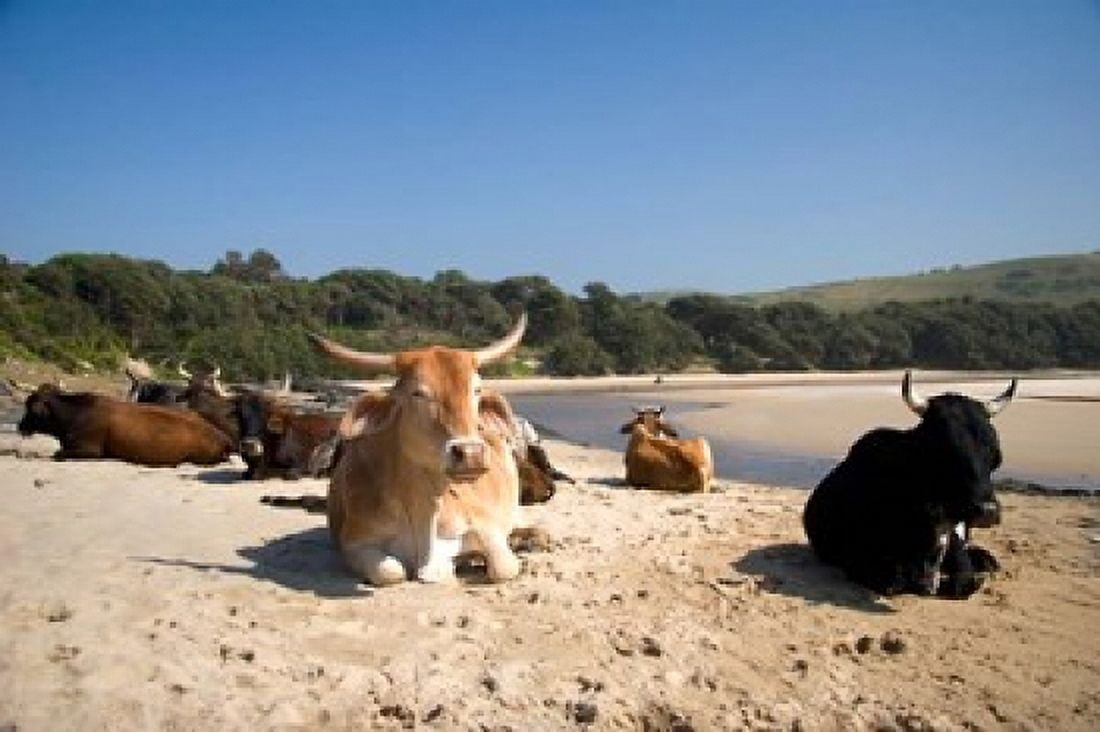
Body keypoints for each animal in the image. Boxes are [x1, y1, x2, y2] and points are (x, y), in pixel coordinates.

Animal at [18, 384, 233, 467]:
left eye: (30, 407)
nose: (21, 427)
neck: (74, 414)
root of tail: (223, 437)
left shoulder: (89, 449)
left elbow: (57, 454)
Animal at [309, 315, 527, 586]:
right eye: (418, 393)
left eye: (476, 389)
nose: (471, 454)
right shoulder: (354, 542)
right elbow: (391, 571)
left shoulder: (485, 525)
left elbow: (503, 567)